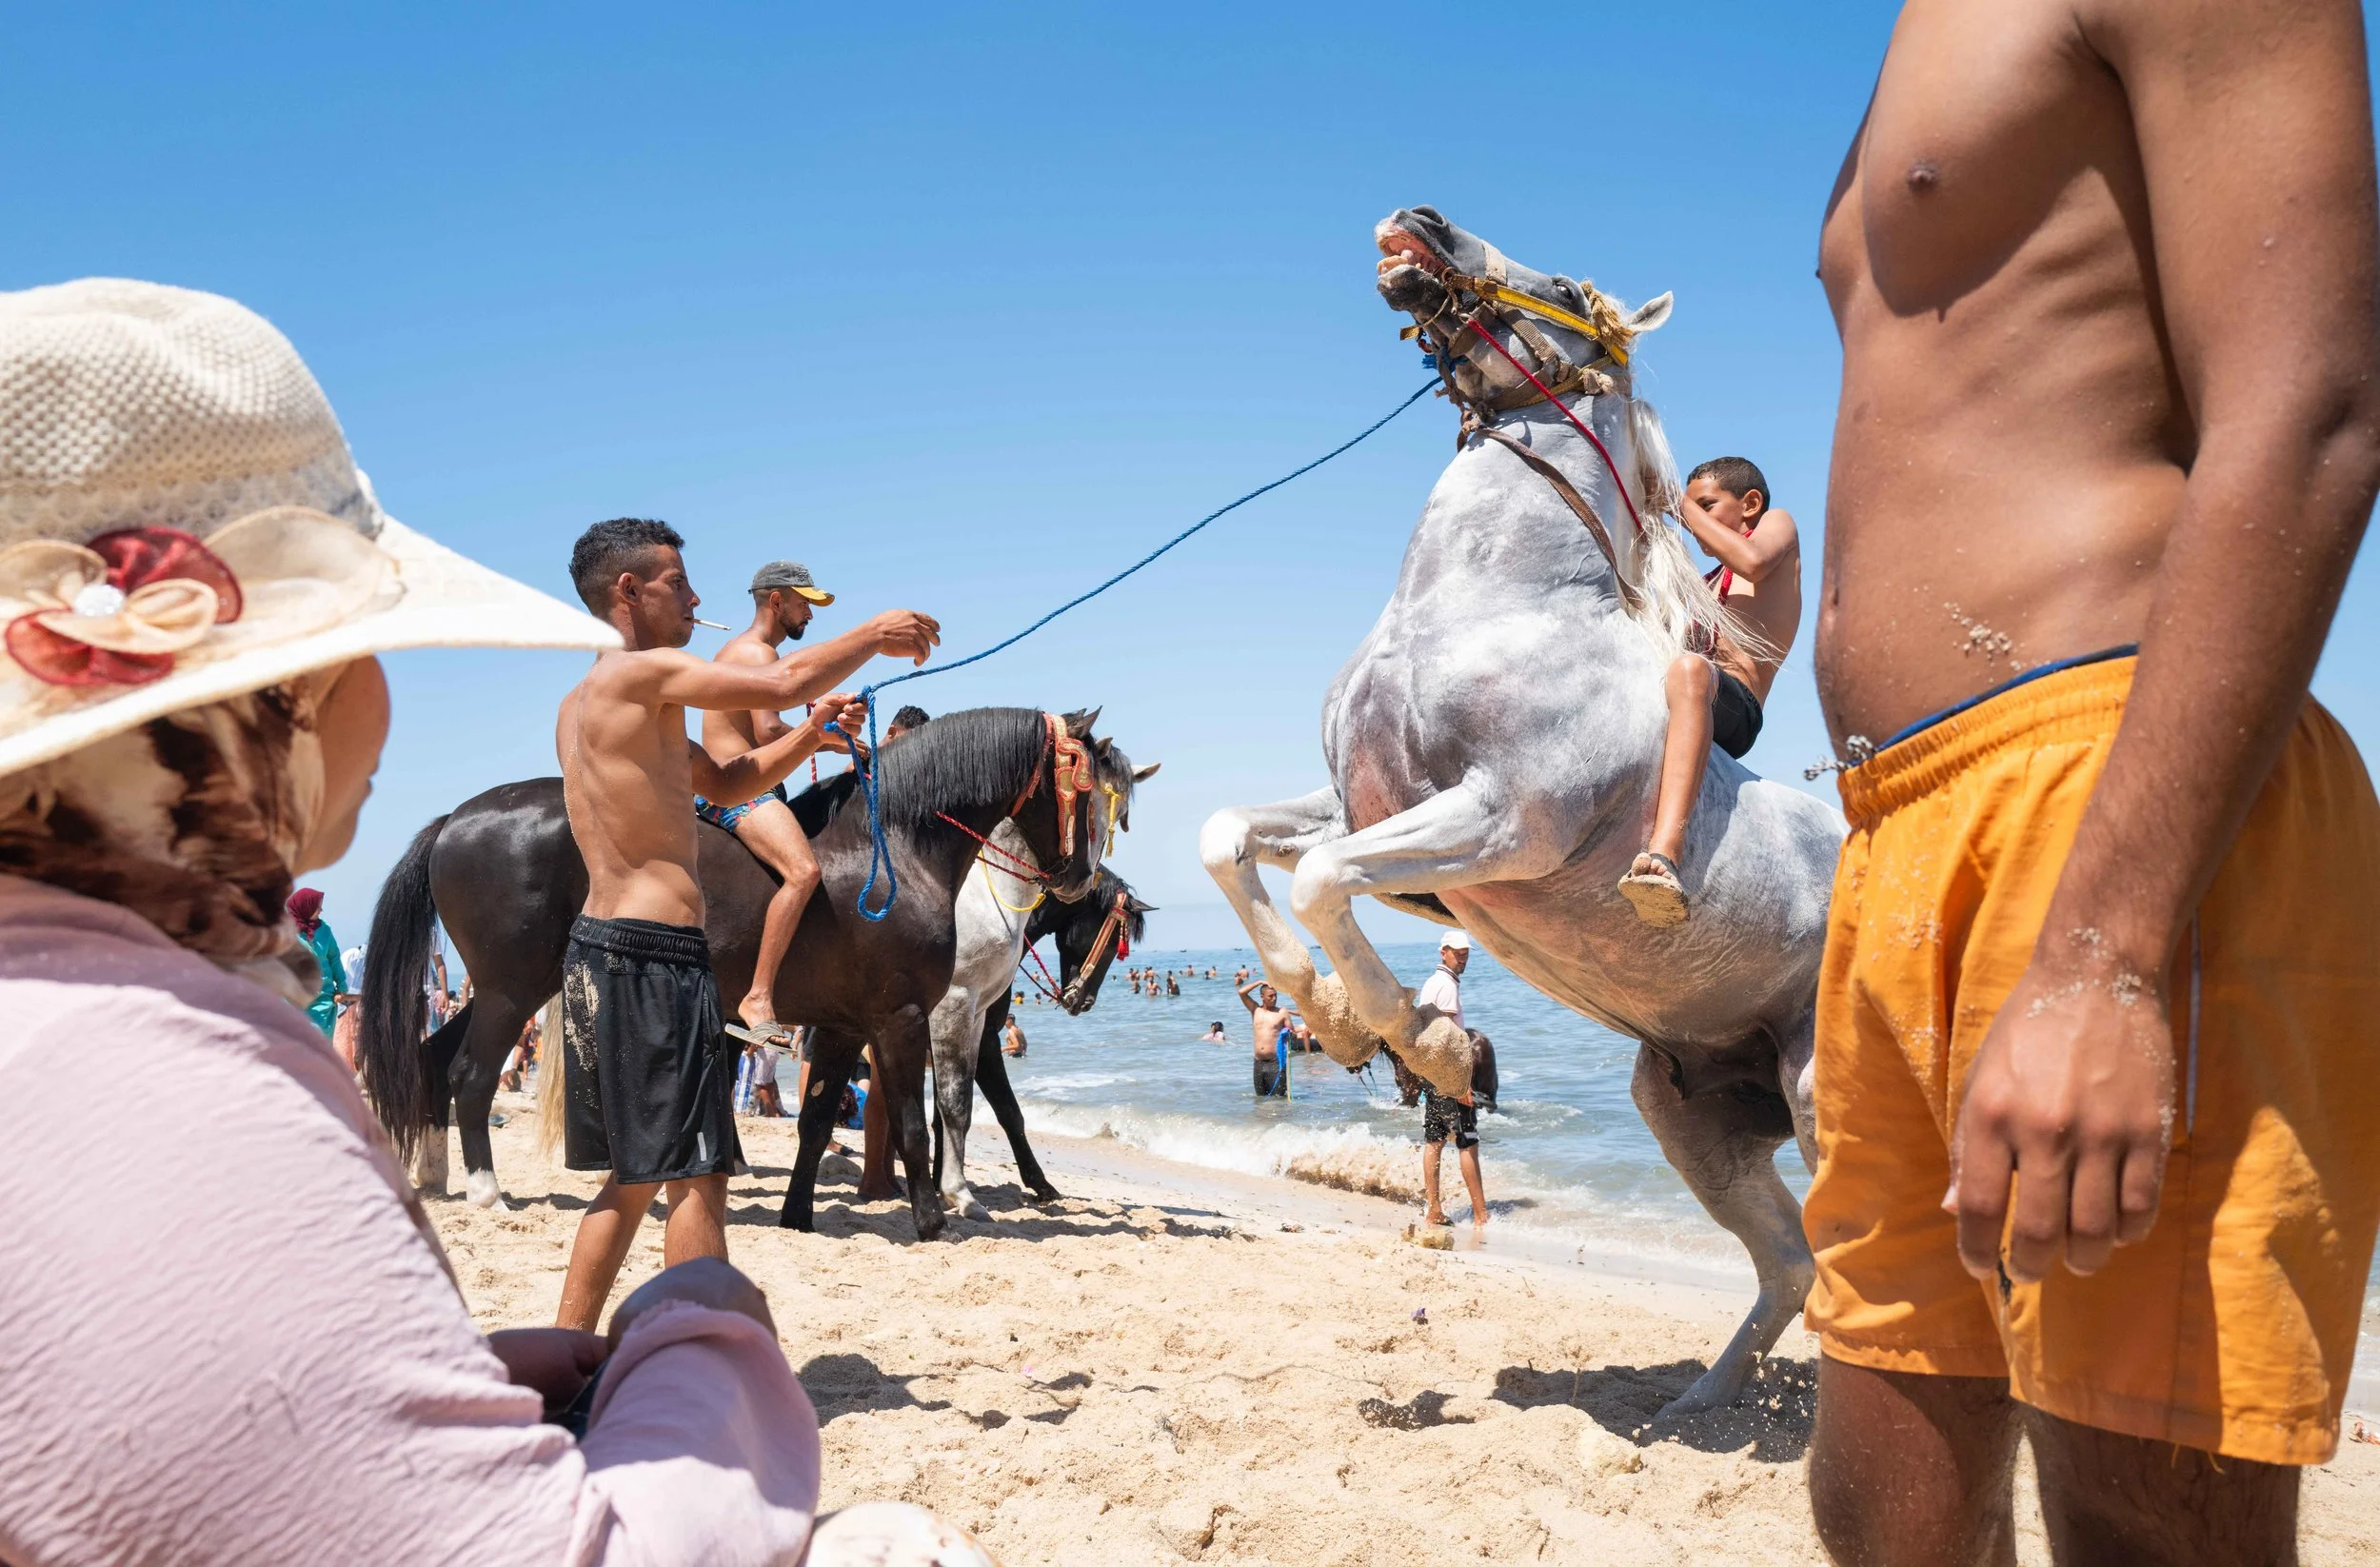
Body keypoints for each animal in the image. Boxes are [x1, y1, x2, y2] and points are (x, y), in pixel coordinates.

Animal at [926, 825, 1154, 1216]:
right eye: (1113, 943)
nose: (1085, 1002)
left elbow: (943, 1114)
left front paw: (940, 1180)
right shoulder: (982, 1040)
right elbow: (1007, 1112)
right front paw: (1040, 1183)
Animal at [1199, 207, 1846, 1417]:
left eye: (1568, 287)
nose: (1416, 225)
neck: (1488, 601)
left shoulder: (1505, 822)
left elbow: (1318, 879)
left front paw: (1425, 1043)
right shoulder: (1357, 806)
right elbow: (1236, 843)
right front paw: (1341, 1015)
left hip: (1821, 1085)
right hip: (1693, 1114)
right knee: (1792, 1261)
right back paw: (1699, 1401)